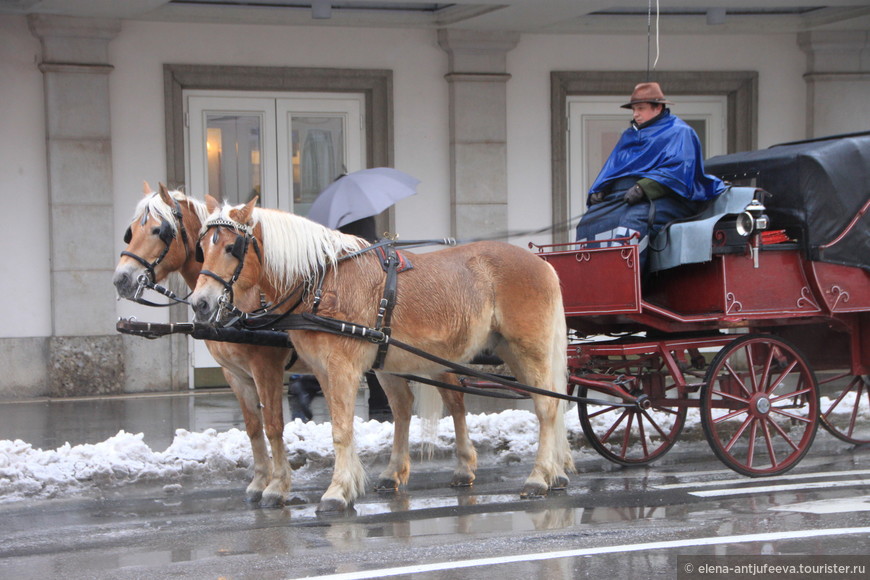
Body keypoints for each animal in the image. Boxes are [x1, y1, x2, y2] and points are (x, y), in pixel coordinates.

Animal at [113, 184, 296, 506]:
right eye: (131, 230)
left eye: (159, 231)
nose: (121, 279)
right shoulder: (235, 374)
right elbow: (253, 427)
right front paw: (260, 481)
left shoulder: (267, 368)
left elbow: (273, 424)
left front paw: (277, 485)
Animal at [189, 196, 572, 512]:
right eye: (201, 248)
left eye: (231, 247)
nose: (200, 303)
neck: (322, 282)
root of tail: (542, 264)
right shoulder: (321, 371)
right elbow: (319, 426)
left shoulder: (333, 368)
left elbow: (336, 430)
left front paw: (336, 491)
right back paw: (553, 472)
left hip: (528, 348)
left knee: (546, 407)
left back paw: (539, 476)